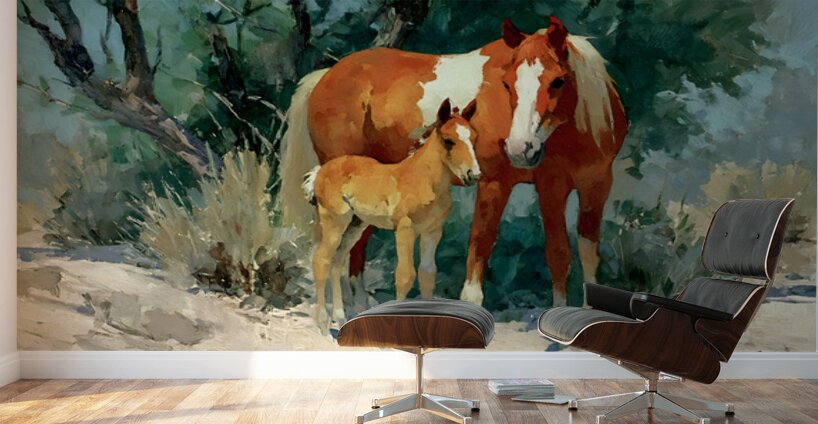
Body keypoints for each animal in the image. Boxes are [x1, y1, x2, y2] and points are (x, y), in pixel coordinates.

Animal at [280, 17, 627, 307]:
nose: (519, 148)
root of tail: (325, 76)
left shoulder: (597, 187)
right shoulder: (530, 185)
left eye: (558, 81)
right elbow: (534, 251)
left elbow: (588, 253)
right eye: (507, 83)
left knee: (355, 246)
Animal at [303, 99, 480, 332]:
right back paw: (323, 326)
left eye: (474, 138)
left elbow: (427, 274)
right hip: (334, 222)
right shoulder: (404, 229)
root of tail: (322, 170)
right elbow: (405, 276)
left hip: (355, 225)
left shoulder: (433, 232)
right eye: (448, 141)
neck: (424, 180)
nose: (473, 175)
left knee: (338, 261)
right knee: (321, 260)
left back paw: (340, 319)